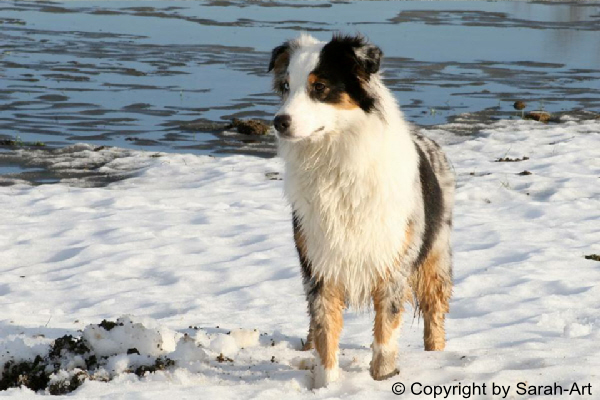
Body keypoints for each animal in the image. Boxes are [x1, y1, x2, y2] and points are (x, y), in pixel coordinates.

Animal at [268, 33, 454, 388]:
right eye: (285, 86)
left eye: (320, 87)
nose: (279, 122)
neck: (336, 161)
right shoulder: (318, 263)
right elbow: (325, 331)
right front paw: (326, 386)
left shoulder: (393, 261)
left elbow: (385, 333)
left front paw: (382, 378)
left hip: (436, 255)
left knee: (434, 311)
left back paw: (437, 357)